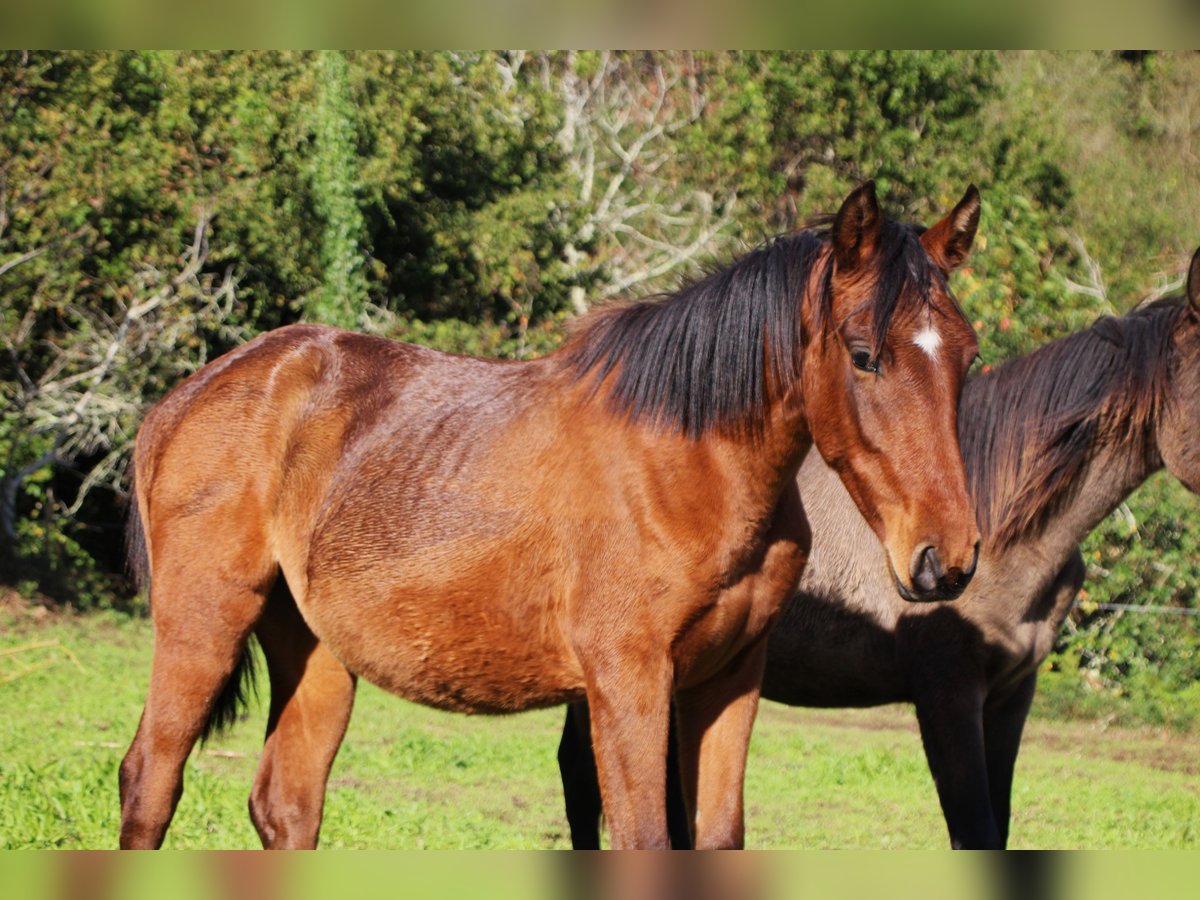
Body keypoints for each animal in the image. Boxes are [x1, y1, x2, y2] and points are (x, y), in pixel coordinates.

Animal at [119, 184, 984, 854]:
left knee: (287, 808)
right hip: (203, 626)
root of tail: (185, 399)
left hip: (317, 653)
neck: (689, 461)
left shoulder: (730, 679)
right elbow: (644, 841)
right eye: (864, 354)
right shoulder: (628, 683)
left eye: (967, 354)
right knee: (150, 783)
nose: (946, 558)